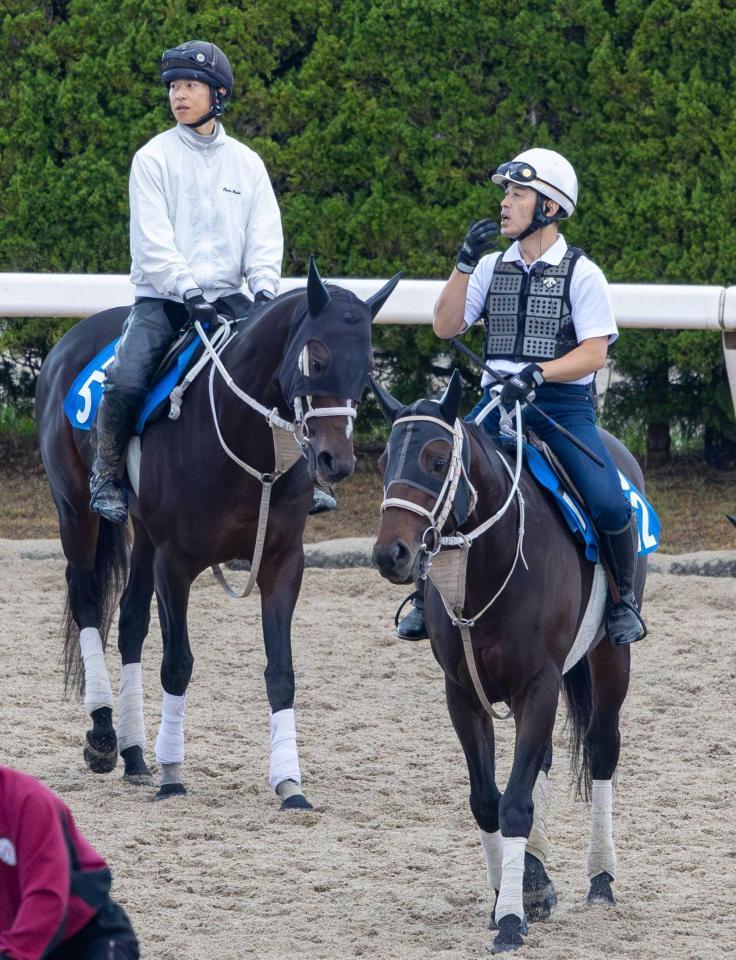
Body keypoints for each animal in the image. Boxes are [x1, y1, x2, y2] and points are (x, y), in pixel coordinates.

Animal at [33, 258, 400, 808]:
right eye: (316, 360)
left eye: (368, 368)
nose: (336, 462)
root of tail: (69, 341)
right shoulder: (175, 562)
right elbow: (177, 664)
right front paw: (172, 774)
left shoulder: (282, 561)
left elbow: (281, 671)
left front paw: (289, 783)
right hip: (76, 512)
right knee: (87, 603)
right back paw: (103, 734)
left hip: (142, 535)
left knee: (131, 624)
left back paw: (134, 754)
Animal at [370, 374, 648, 952]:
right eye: (384, 458)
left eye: (436, 460)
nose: (392, 554)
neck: (489, 563)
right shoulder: (462, 694)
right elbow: (487, 800)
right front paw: (512, 896)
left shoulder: (536, 686)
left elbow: (516, 804)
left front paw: (511, 921)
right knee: (542, 763)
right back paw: (538, 878)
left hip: (611, 659)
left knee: (603, 750)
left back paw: (601, 879)